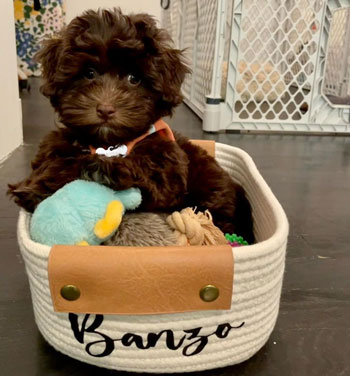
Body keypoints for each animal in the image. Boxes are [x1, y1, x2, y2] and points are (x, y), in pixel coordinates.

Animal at [8, 10, 254, 244]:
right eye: (89, 73)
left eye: (134, 78)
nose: (105, 109)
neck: (108, 143)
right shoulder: (57, 145)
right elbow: (53, 161)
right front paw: (34, 188)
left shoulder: (168, 166)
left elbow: (148, 174)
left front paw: (106, 168)